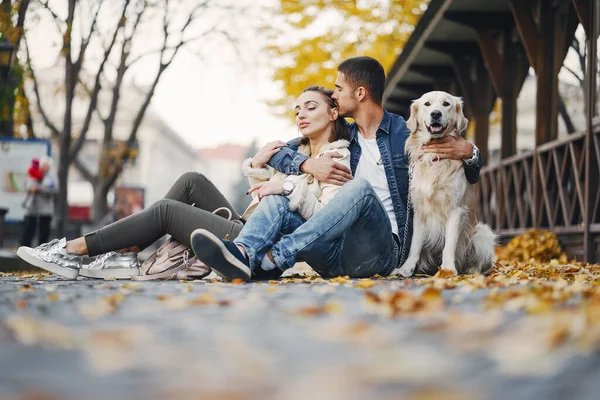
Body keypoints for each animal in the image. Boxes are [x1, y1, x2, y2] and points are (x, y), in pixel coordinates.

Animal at [392, 91, 494, 278]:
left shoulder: (455, 209)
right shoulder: (419, 211)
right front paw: (406, 269)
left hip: (482, 234)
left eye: (446, 104)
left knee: (482, 263)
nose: (436, 114)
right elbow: (414, 246)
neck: (434, 156)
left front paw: (447, 269)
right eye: (427, 104)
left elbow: (449, 245)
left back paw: (471, 271)